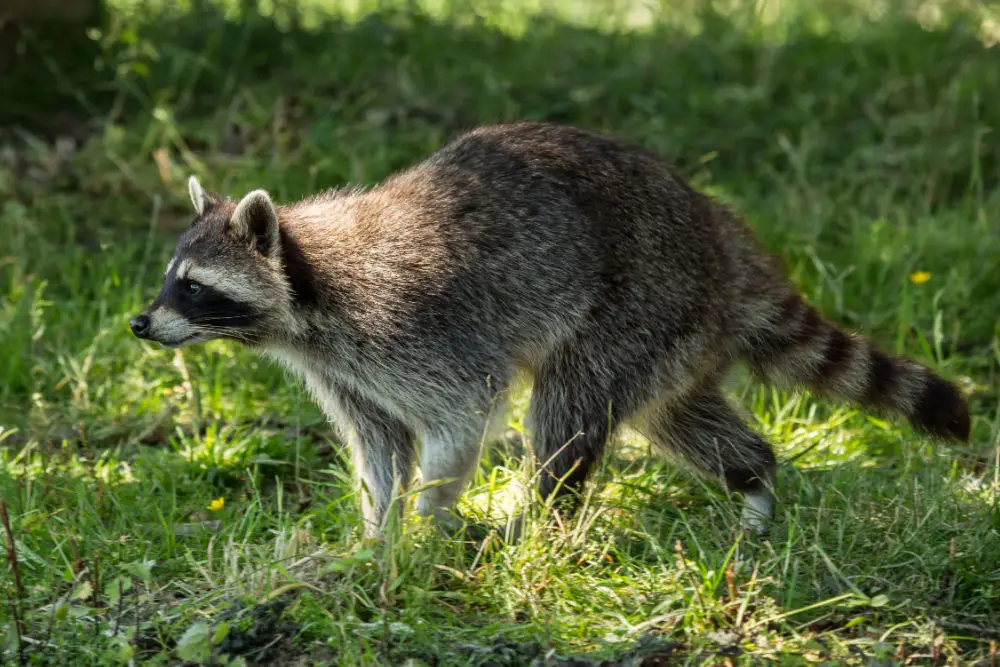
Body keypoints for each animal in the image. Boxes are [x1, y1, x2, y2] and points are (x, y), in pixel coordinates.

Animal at [131, 121, 968, 536]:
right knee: (679, 416)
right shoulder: (343, 369)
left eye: (193, 287)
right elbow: (381, 447)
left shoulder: (407, 326)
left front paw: (425, 526)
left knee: (566, 408)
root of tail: (719, 232)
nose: (140, 322)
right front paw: (377, 536)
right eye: (171, 275)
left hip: (638, 302)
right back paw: (754, 475)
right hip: (674, 334)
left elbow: (459, 416)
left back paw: (546, 518)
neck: (302, 299)